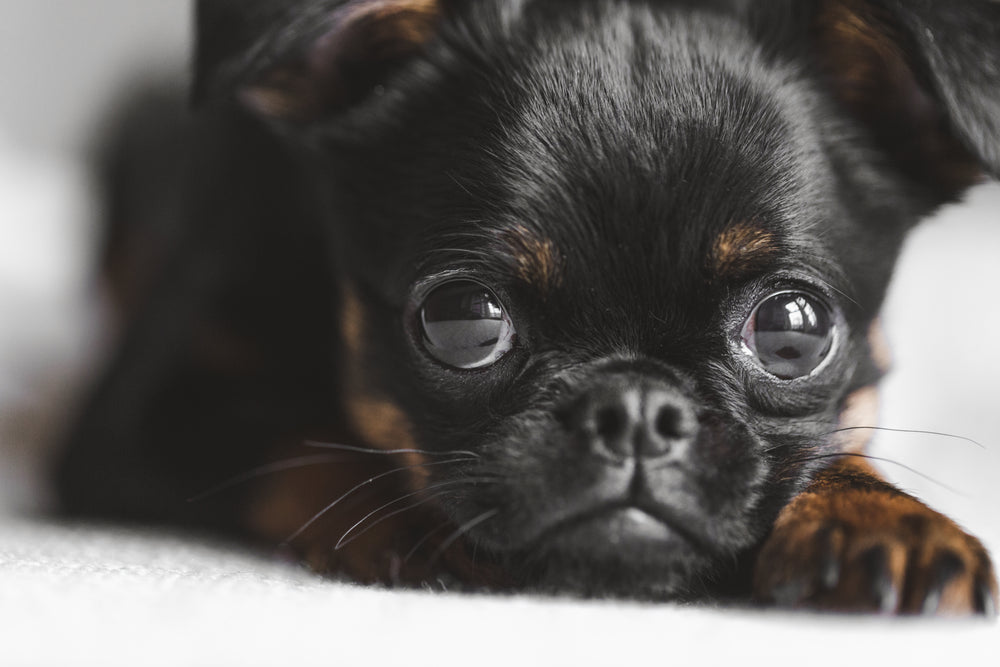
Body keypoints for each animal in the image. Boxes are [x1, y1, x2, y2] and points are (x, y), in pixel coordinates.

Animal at [56, 0, 1000, 616]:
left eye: (790, 332)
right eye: (464, 319)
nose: (635, 408)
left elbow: (828, 446)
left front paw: (876, 513)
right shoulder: (140, 416)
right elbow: (299, 437)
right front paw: (406, 514)